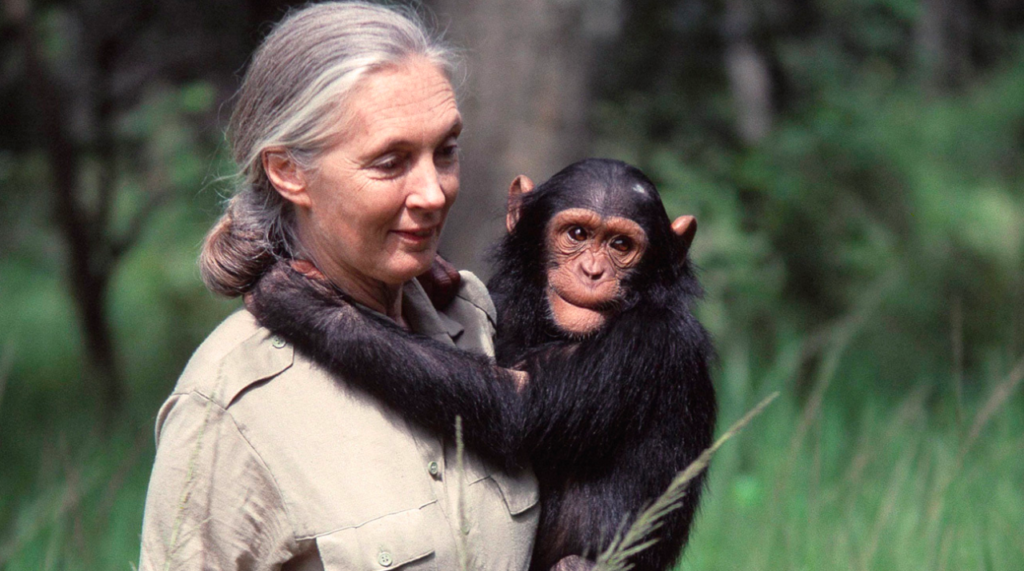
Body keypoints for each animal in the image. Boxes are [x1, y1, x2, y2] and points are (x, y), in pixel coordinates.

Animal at [246, 157, 716, 571]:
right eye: (578, 233)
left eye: (621, 245)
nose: (593, 270)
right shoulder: (501, 302)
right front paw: (437, 276)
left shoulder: (651, 340)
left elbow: (518, 404)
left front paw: (306, 304)